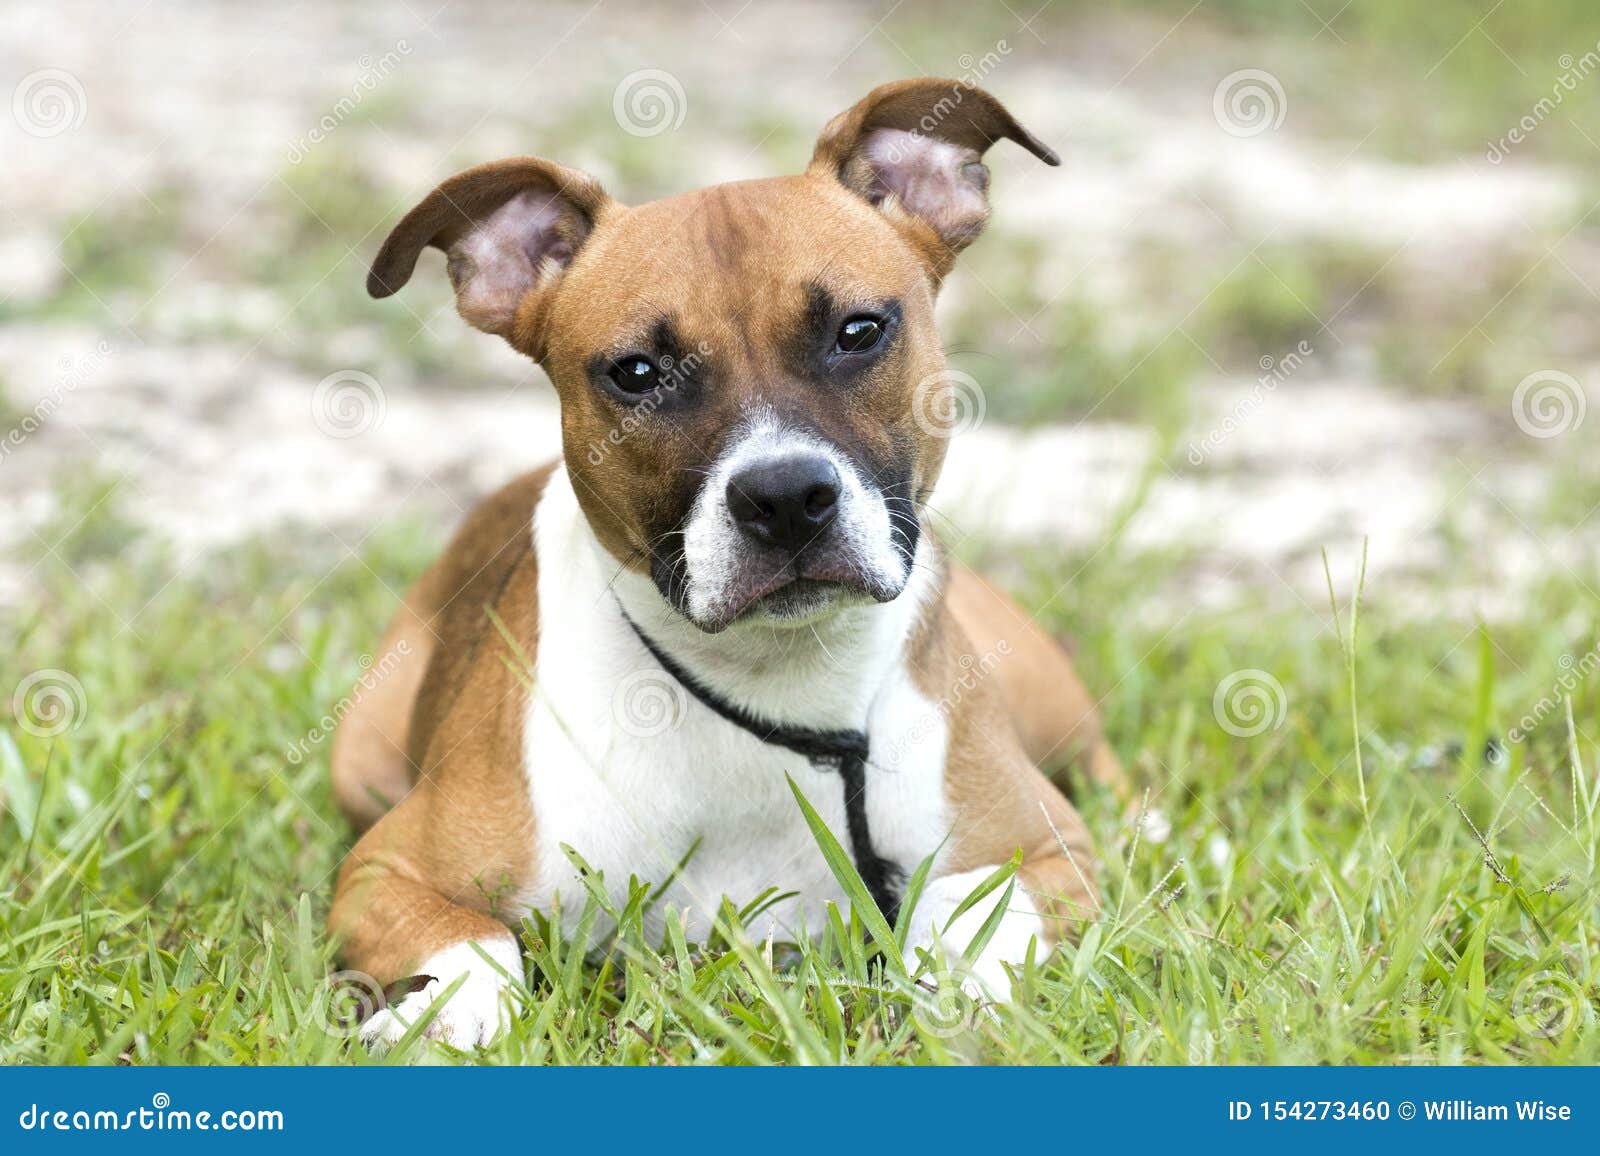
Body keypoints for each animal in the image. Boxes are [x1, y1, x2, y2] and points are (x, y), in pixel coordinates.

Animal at [328, 76, 1126, 1037]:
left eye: (859, 331)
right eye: (637, 373)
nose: (784, 497)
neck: (769, 685)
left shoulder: (1044, 852)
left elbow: (971, 919)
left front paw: (957, 1006)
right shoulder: (386, 871)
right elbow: (476, 946)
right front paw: (448, 1023)